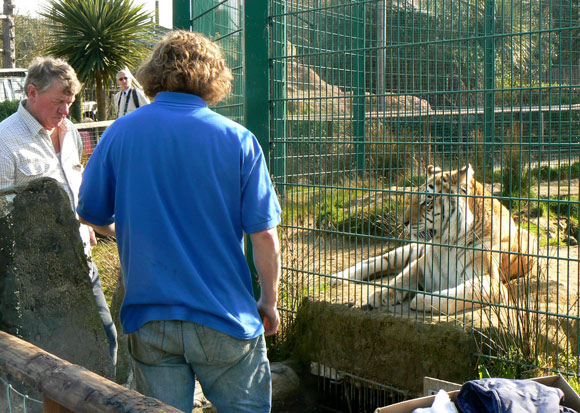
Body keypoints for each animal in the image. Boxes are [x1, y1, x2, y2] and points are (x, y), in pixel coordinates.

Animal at [330, 164, 540, 312]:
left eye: (427, 201)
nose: (404, 222)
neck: (449, 243)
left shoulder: (490, 281)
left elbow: (456, 296)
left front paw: (421, 300)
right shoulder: (422, 264)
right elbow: (399, 279)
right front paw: (381, 294)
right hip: (409, 251)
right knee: (374, 261)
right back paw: (336, 278)